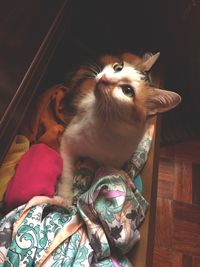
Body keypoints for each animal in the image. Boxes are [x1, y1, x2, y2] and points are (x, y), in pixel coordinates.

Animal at [57, 52, 181, 207]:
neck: (106, 122)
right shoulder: (68, 140)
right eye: (118, 68)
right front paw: (65, 196)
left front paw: (86, 175)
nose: (104, 78)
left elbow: (96, 167)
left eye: (127, 91)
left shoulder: (114, 161)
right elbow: (66, 169)